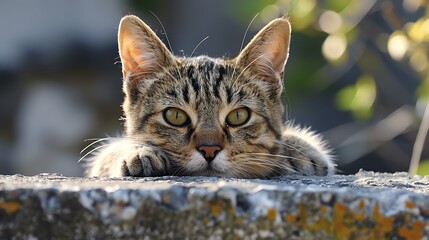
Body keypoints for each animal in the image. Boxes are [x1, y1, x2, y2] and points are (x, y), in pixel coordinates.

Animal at [83, 14, 334, 177]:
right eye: (175, 116)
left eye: (238, 116)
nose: (209, 150)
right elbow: (111, 151)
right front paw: (137, 151)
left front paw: (298, 148)